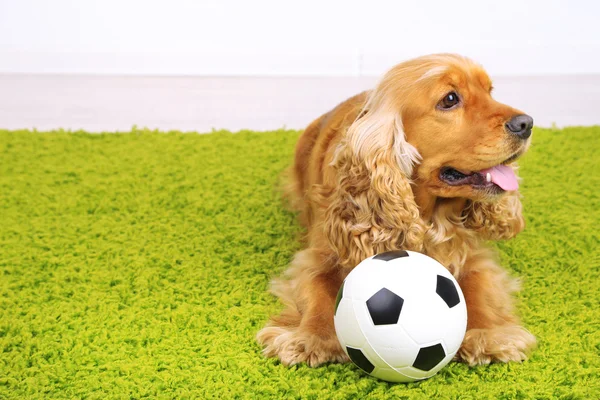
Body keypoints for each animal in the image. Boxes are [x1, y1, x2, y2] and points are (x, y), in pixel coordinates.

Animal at [255, 54, 536, 368]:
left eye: (490, 91)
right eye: (450, 99)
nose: (526, 123)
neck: (427, 215)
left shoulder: (475, 257)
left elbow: (478, 290)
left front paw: (488, 335)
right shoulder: (317, 256)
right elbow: (317, 293)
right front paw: (310, 338)